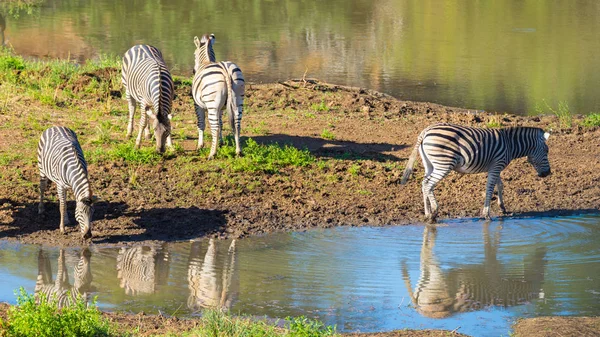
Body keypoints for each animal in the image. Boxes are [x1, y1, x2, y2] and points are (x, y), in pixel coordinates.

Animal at [400, 122, 552, 220]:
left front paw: (502, 207)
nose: (547, 173)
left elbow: (500, 185)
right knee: (428, 184)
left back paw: (427, 213)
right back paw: (434, 212)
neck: (510, 144)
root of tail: (426, 131)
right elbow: (490, 188)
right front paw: (486, 214)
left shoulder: (496, 167)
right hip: (444, 164)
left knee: (424, 183)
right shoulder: (496, 165)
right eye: (546, 151)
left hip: (430, 164)